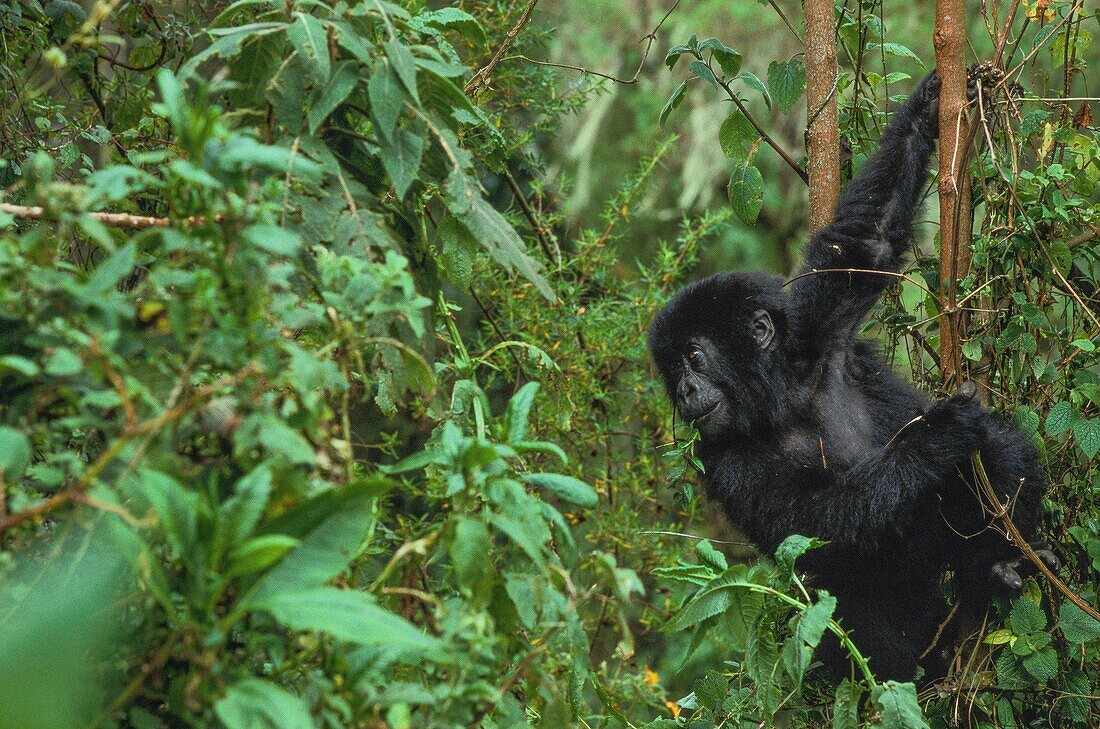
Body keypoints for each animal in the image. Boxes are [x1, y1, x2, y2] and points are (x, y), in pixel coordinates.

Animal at [646, 71, 1051, 681]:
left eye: (694, 357)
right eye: (673, 370)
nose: (685, 392)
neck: (781, 396)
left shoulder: (814, 326)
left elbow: (867, 242)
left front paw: (930, 105)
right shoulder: (722, 459)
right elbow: (815, 526)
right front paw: (934, 437)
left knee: (998, 445)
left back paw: (999, 565)